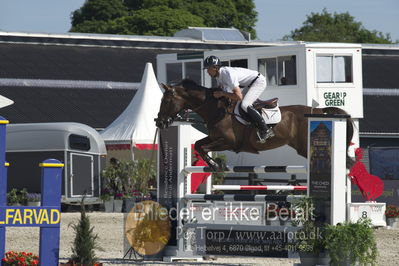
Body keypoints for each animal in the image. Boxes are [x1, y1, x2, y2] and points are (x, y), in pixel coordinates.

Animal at [155, 79, 354, 170]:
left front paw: (216, 165)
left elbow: (203, 147)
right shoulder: (213, 137)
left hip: (306, 147)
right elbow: (198, 144)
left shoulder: (229, 142)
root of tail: (319, 110)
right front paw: (215, 165)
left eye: (166, 100)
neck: (217, 109)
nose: (160, 121)